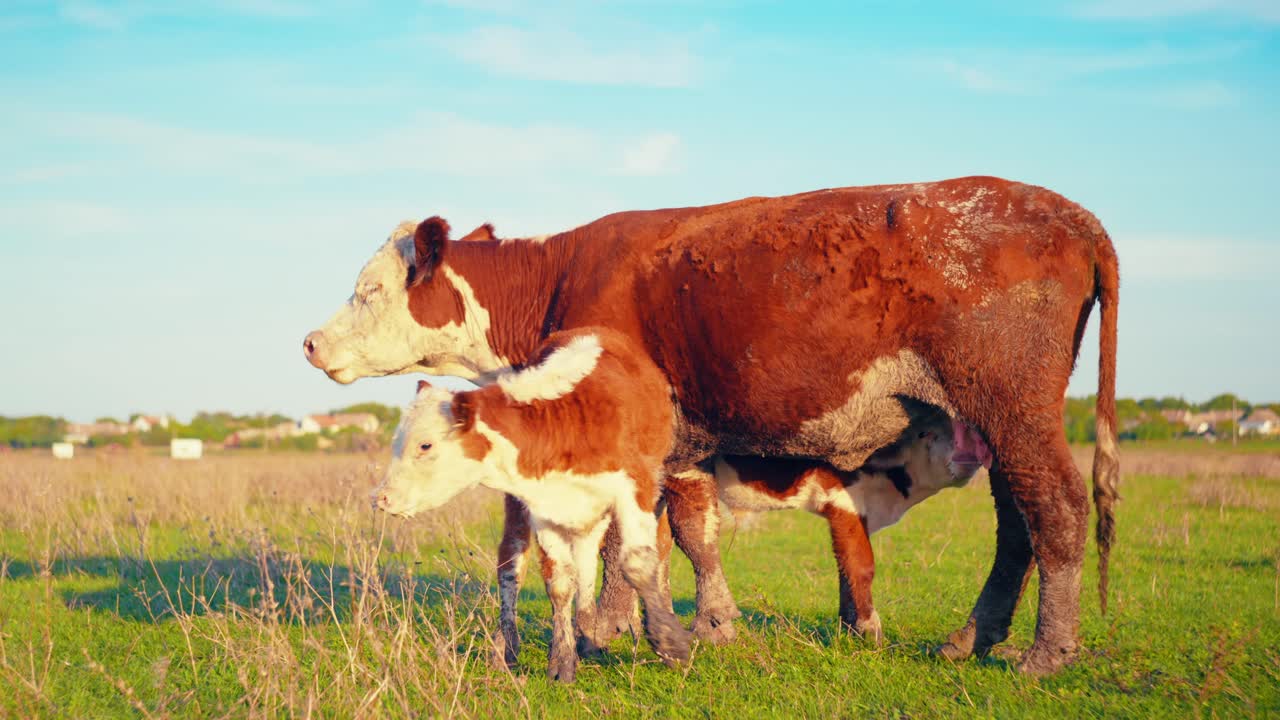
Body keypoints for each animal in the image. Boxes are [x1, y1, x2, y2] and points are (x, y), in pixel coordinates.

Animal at [371, 327, 692, 682]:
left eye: (425, 445)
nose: (382, 497)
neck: (564, 422)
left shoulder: (636, 487)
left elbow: (638, 562)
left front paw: (671, 643)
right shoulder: (544, 510)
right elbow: (560, 583)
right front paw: (562, 661)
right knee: (536, 563)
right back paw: (579, 637)